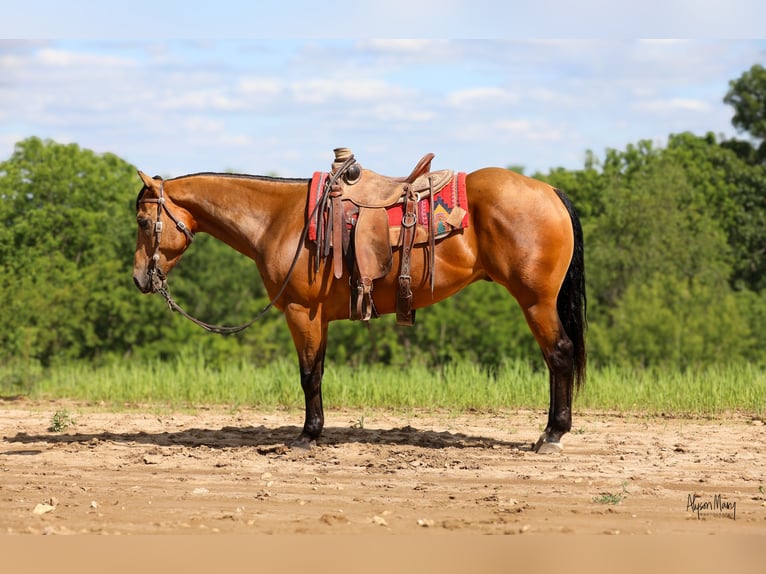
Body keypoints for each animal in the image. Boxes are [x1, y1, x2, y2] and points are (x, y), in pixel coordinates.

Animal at [134, 156, 588, 454]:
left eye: (141, 221)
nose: (140, 278)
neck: (279, 219)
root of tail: (550, 191)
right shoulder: (319, 317)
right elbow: (317, 372)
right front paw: (316, 431)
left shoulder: (301, 312)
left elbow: (308, 376)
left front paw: (306, 437)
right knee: (554, 360)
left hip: (536, 302)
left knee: (559, 355)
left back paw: (552, 435)